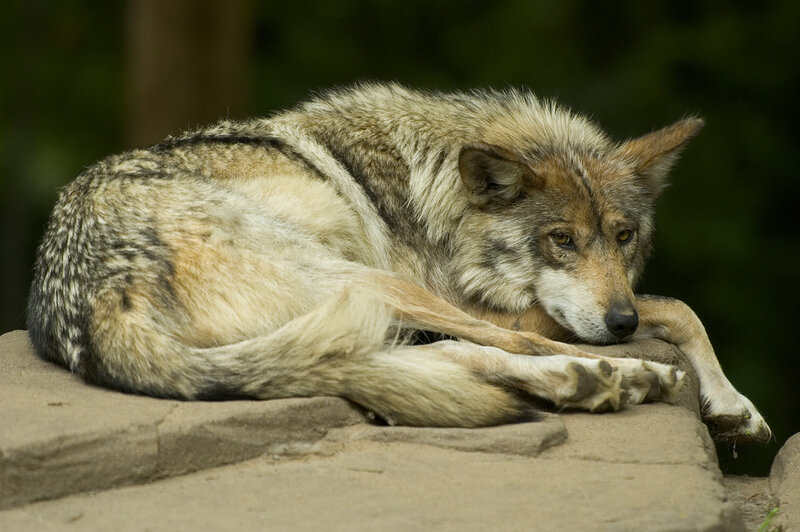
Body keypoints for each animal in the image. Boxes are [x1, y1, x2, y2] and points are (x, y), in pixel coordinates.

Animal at [28, 83, 769, 442]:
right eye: (561, 240)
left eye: (623, 236)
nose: (619, 322)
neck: (433, 193)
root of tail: (96, 298)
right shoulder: (488, 303)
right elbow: (675, 306)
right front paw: (726, 398)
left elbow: (679, 308)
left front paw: (733, 406)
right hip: (370, 282)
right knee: (506, 345)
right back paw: (621, 375)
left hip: (360, 308)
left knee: (432, 359)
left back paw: (586, 380)